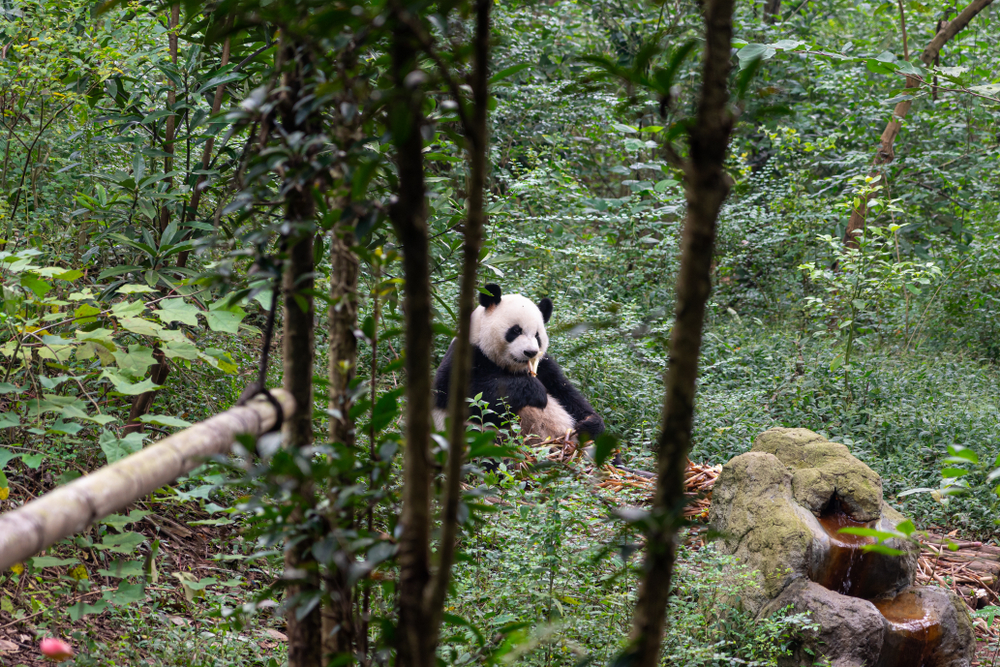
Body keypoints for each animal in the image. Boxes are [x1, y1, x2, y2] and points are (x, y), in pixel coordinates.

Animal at [433, 284, 605, 441]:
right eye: (516, 330)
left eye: (537, 335)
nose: (530, 352)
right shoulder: (467, 354)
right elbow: (463, 394)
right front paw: (536, 391)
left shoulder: (544, 367)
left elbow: (566, 394)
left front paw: (591, 424)